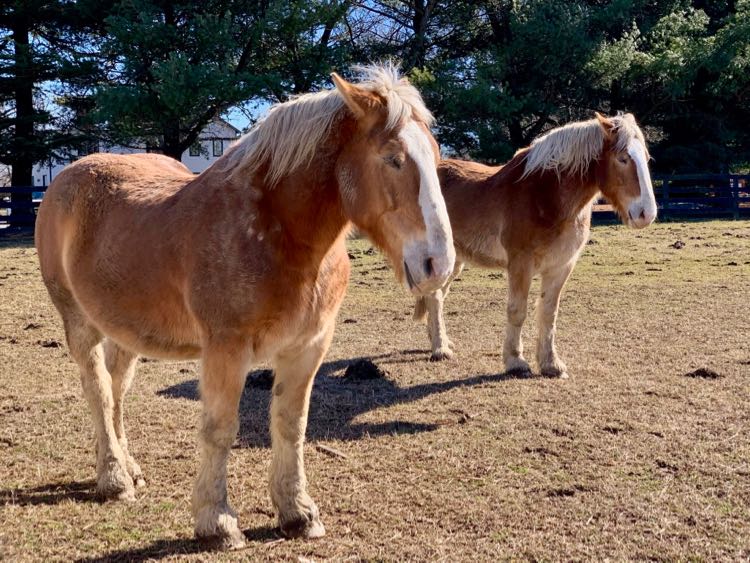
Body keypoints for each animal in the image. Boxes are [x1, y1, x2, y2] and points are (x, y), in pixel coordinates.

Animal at [36, 64, 458, 548]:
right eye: (392, 158)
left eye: (435, 155)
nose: (438, 263)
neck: (278, 235)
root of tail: (63, 181)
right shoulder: (227, 349)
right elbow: (220, 429)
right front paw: (216, 521)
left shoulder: (308, 347)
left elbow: (291, 425)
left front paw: (297, 513)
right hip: (79, 322)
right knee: (99, 392)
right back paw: (114, 480)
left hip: (125, 329)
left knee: (117, 388)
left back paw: (129, 468)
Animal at [418, 112, 656, 376]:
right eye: (622, 158)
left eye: (646, 158)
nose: (646, 214)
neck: (546, 195)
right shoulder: (521, 264)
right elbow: (517, 311)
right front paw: (515, 361)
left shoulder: (561, 266)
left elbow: (548, 313)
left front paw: (551, 363)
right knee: (434, 296)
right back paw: (440, 349)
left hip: (455, 260)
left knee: (438, 296)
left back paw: (439, 341)